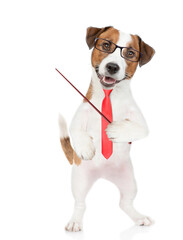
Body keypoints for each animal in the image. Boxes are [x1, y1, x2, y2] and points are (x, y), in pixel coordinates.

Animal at [58, 26, 154, 232]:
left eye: (130, 53)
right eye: (106, 45)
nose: (112, 67)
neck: (109, 94)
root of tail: (104, 174)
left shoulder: (141, 122)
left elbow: (140, 129)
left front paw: (114, 131)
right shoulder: (80, 115)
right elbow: (76, 129)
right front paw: (86, 147)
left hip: (129, 182)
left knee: (125, 203)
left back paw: (139, 217)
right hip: (79, 181)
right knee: (80, 203)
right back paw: (75, 221)